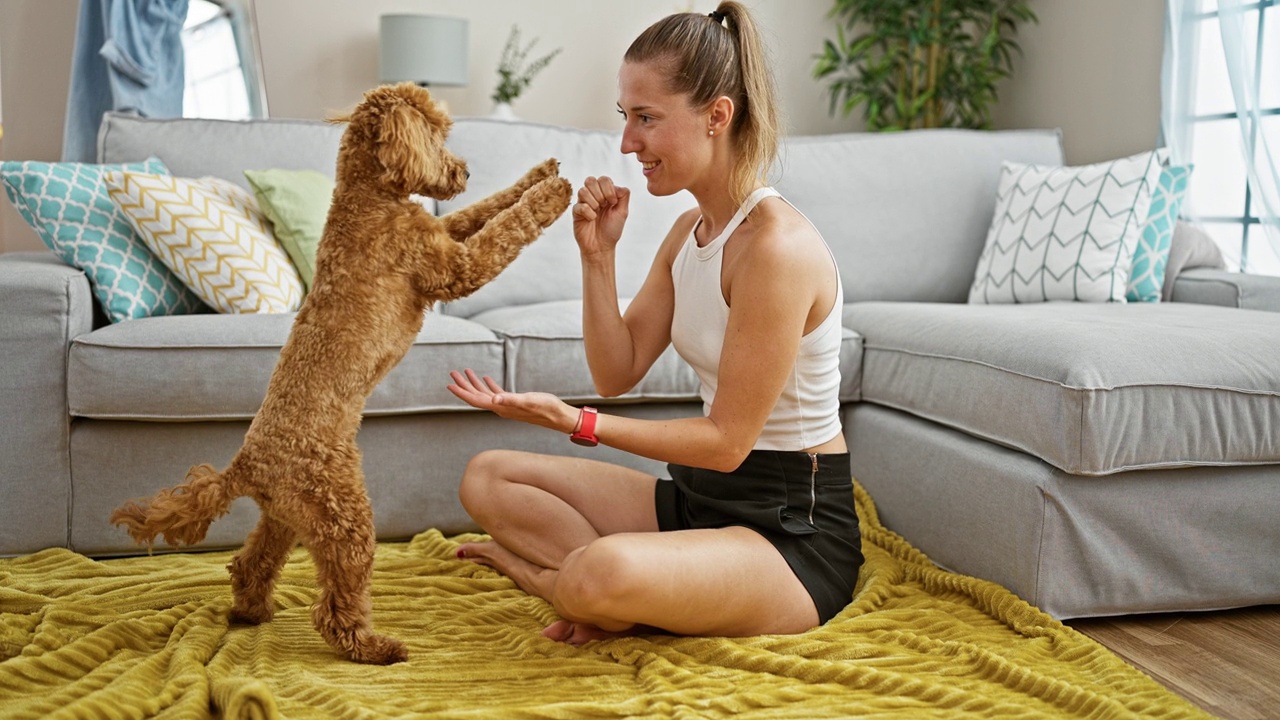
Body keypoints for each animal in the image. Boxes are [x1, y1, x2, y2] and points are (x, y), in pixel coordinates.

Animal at [112, 82, 573, 661]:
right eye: (436, 136)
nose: (463, 171)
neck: (370, 199)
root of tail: (246, 466)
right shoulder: (452, 267)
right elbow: (503, 232)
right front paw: (552, 195)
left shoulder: (440, 230)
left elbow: (482, 209)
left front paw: (539, 172)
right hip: (343, 514)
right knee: (335, 605)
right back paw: (373, 646)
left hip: (288, 517)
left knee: (249, 562)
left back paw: (252, 611)